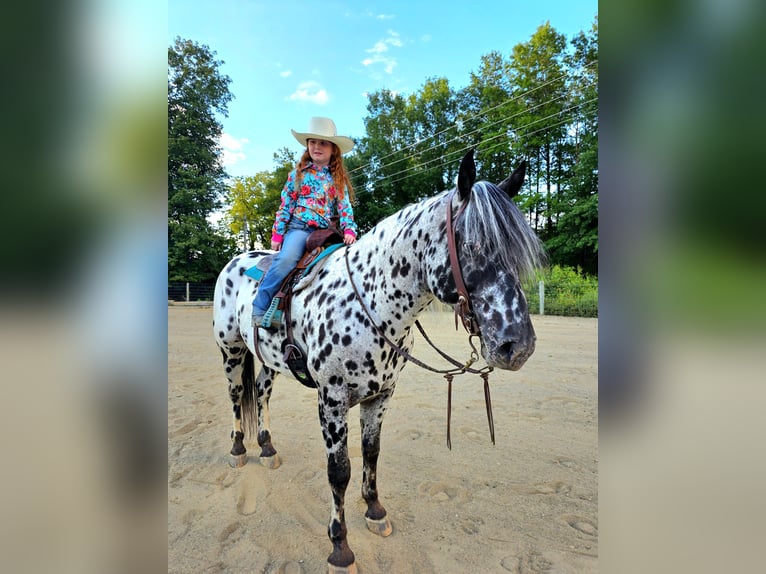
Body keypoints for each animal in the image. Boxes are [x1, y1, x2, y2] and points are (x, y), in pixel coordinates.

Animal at [212, 150, 546, 573]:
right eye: (471, 245)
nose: (518, 346)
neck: (369, 302)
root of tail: (236, 260)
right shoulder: (332, 400)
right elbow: (339, 471)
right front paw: (340, 548)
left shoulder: (381, 394)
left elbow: (371, 452)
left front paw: (374, 511)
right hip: (231, 350)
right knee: (236, 395)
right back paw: (239, 450)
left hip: (268, 360)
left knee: (261, 394)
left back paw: (267, 448)